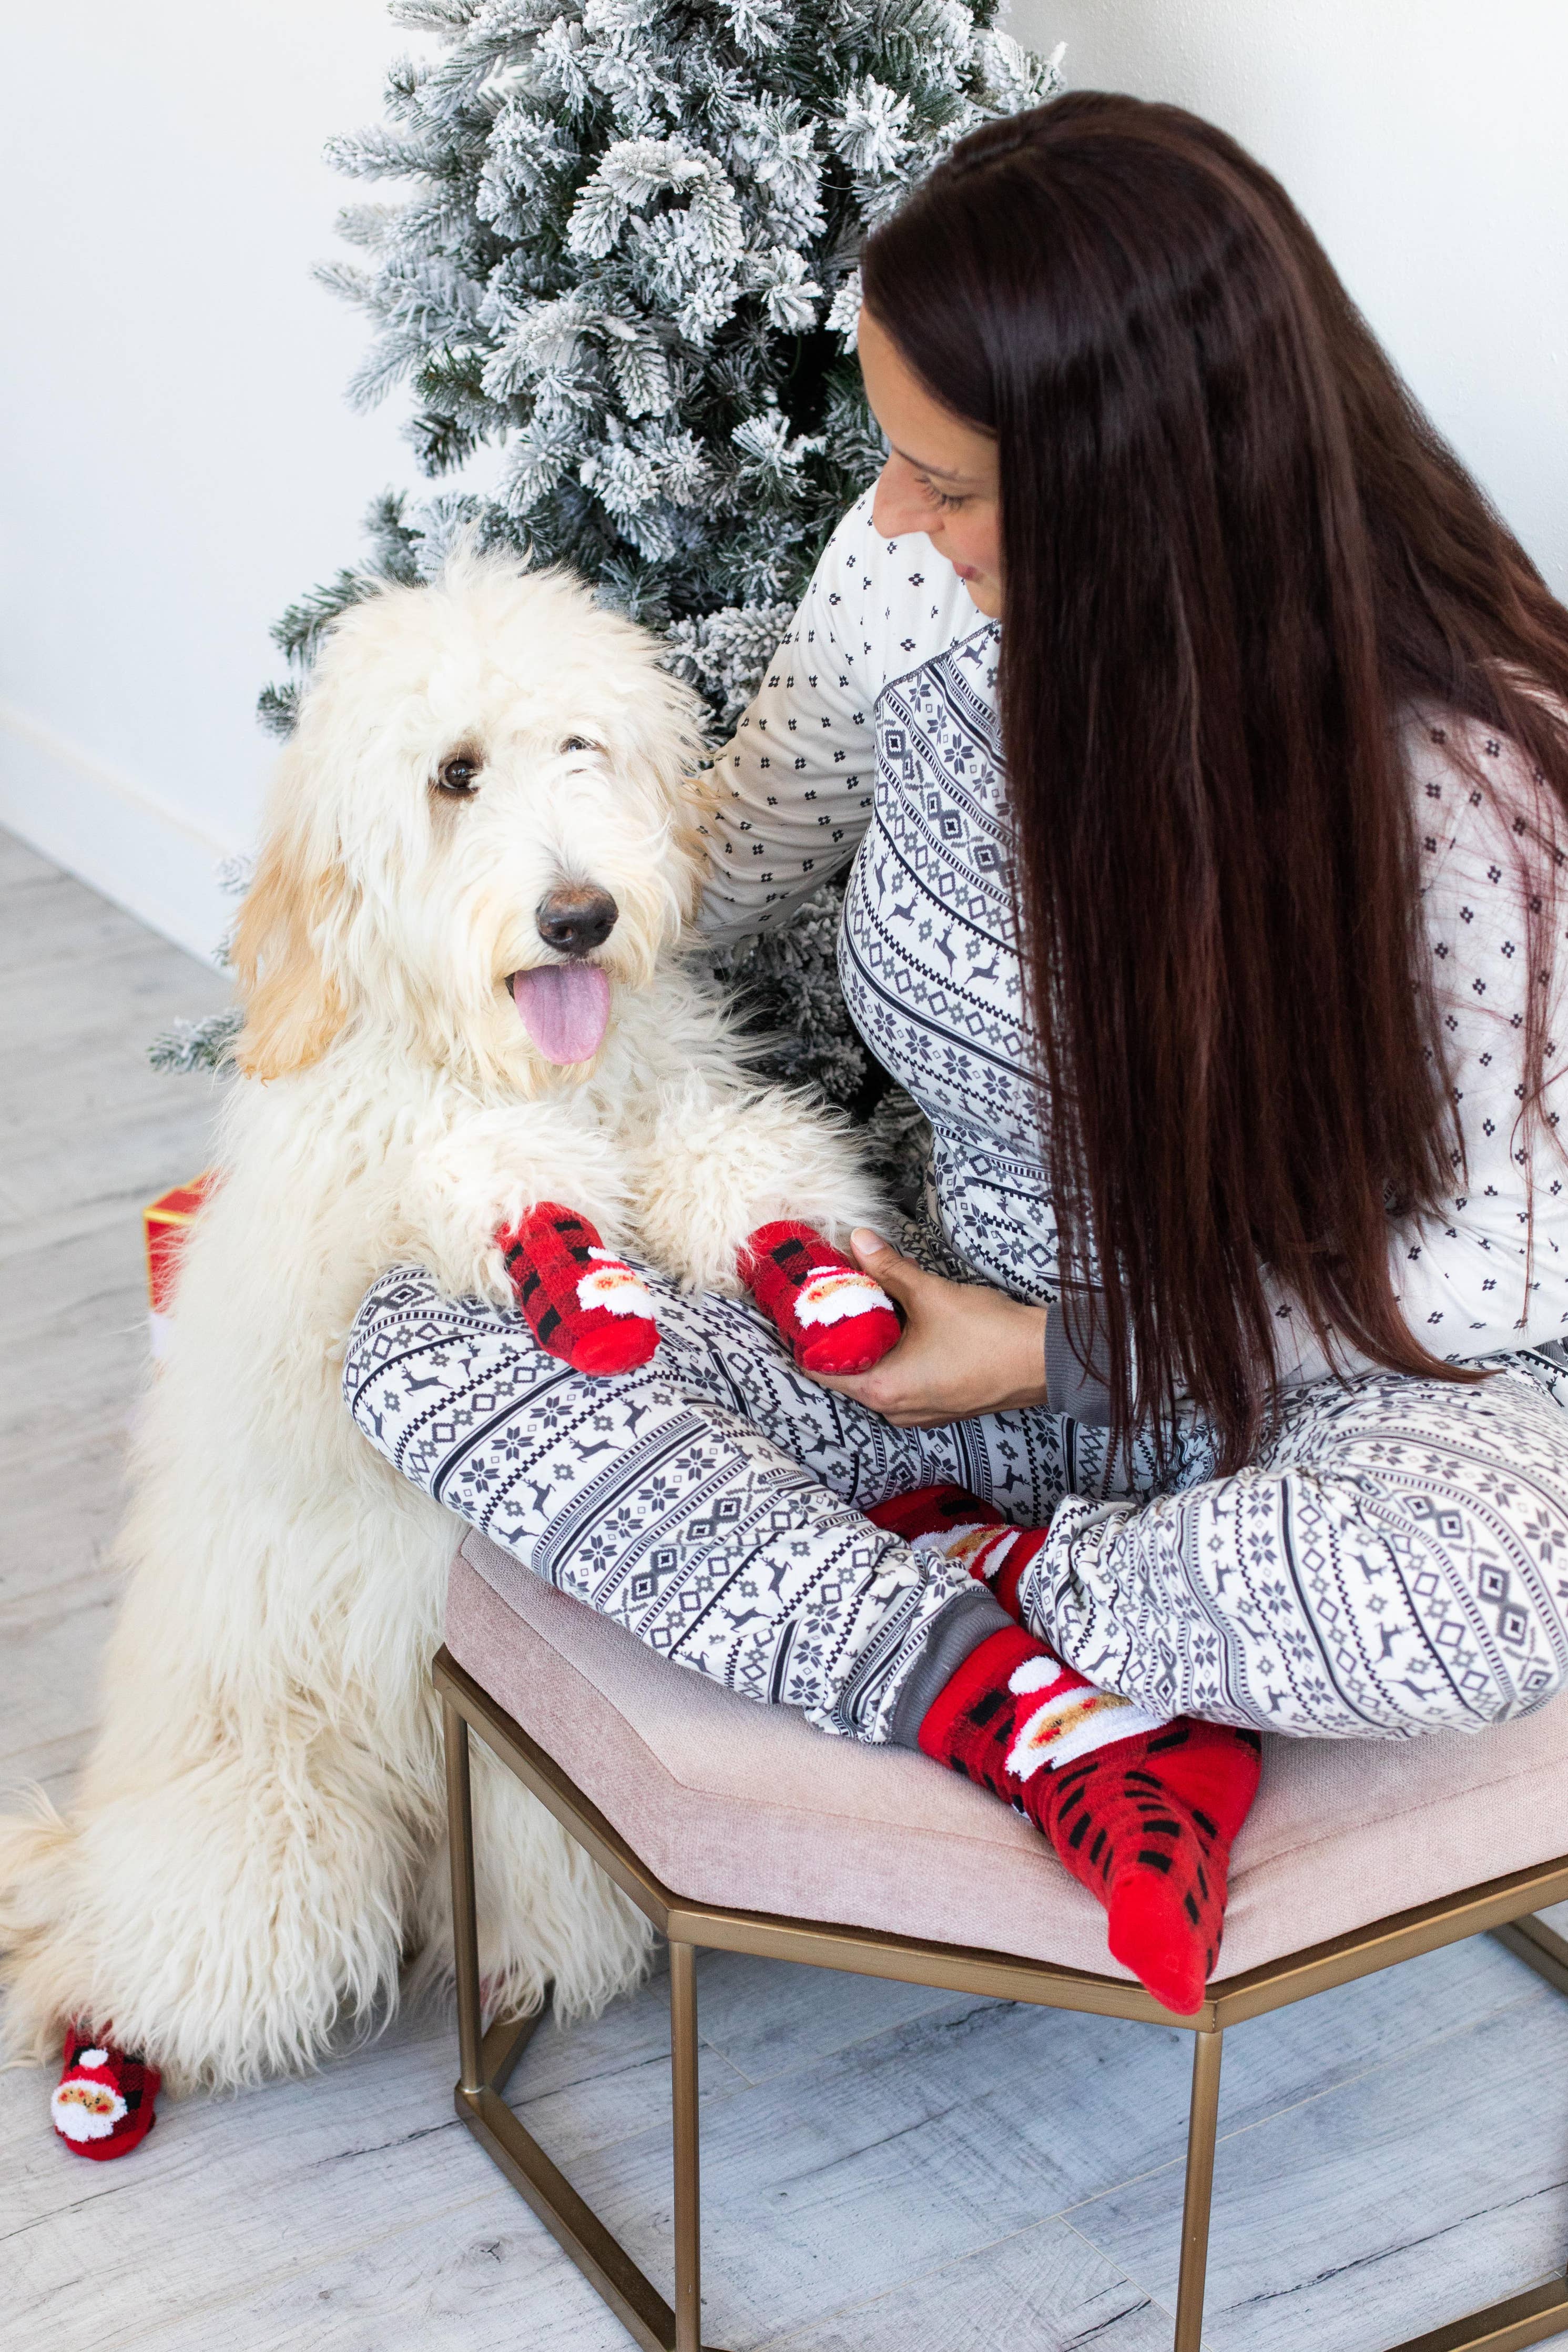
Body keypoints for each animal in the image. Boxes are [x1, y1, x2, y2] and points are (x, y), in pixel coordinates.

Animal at [0, 550, 884, 2098]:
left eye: (582, 744)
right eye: (452, 775)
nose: (581, 914)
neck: (523, 1067)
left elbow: (720, 1153)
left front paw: (782, 1225)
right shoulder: (310, 1300)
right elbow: (447, 1200)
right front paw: (534, 1215)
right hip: (276, 1847)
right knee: (140, 1957)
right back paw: (102, 2041)